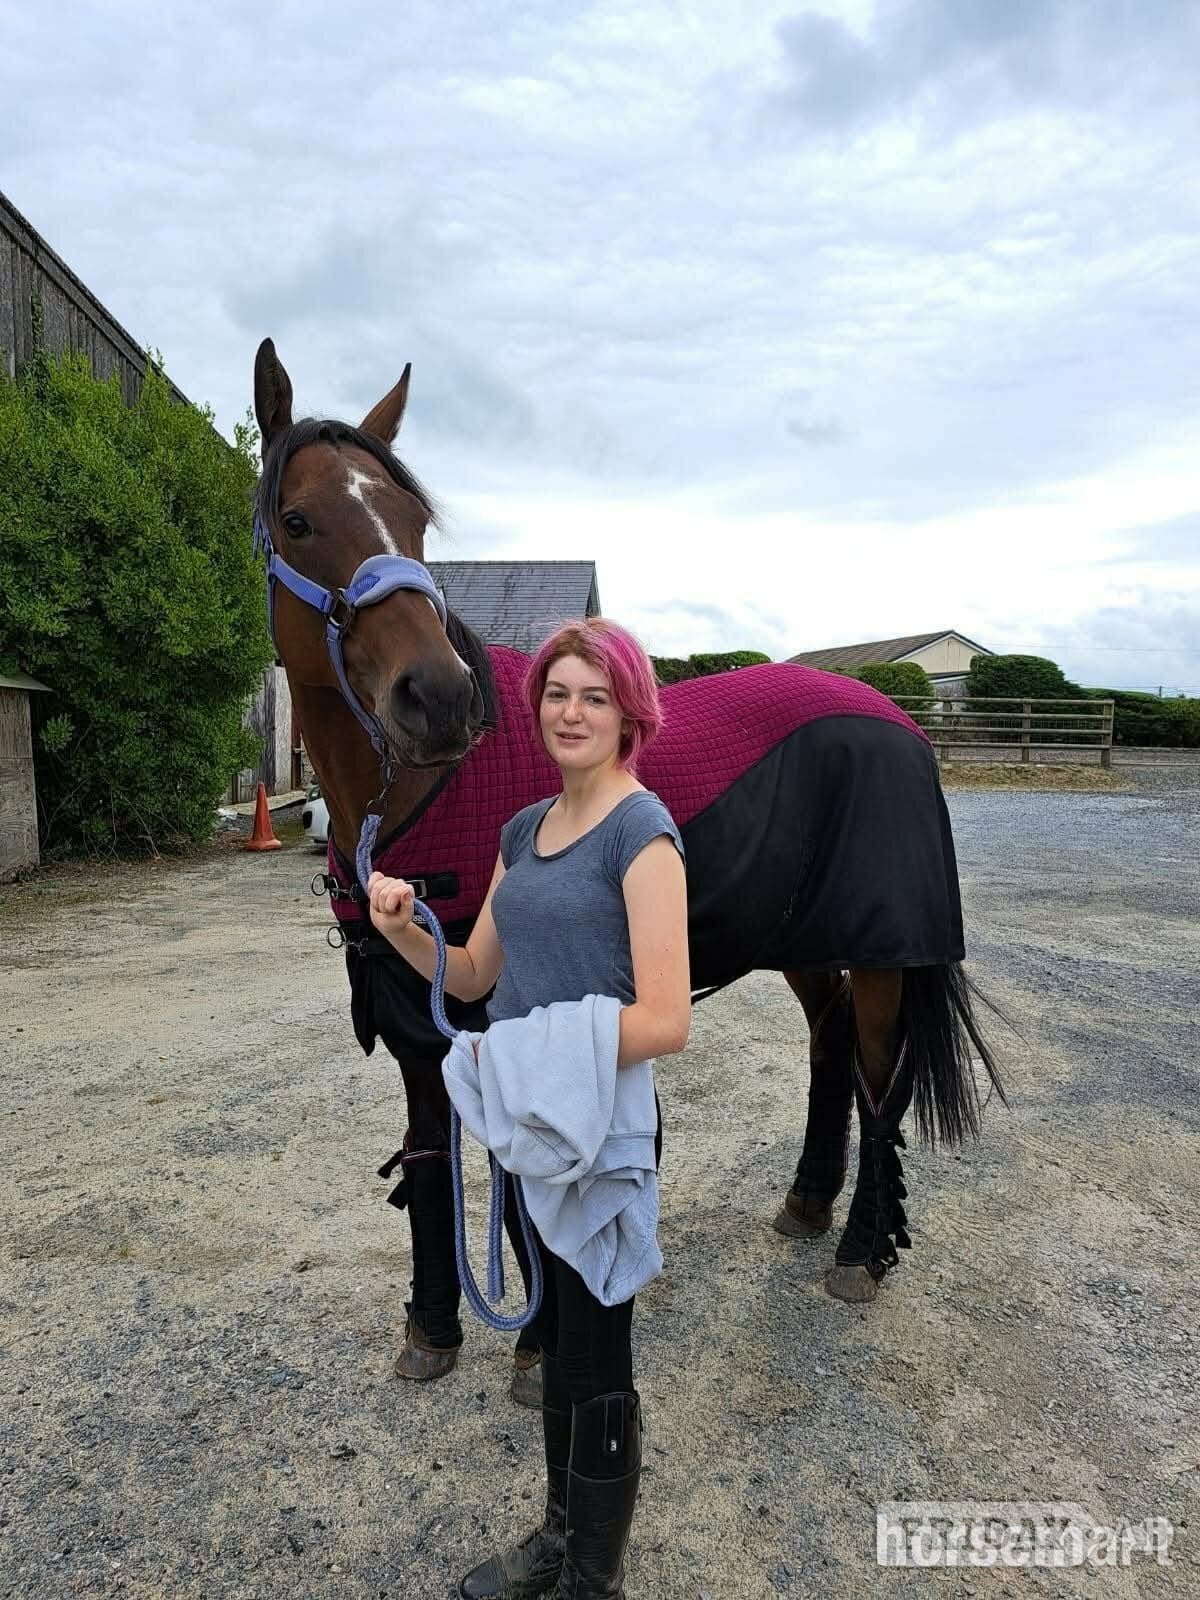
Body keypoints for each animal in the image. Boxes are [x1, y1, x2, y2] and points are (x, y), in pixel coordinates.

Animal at [250, 338, 1005, 1403]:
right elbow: (430, 1158)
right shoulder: (416, 1020)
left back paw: (861, 1248)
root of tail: (896, 720)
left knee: (876, 1074)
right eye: (298, 520)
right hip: (802, 941)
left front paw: (536, 1350)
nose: (437, 699)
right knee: (828, 1049)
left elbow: (525, 1172)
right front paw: (433, 1329)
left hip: (884, 956)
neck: (425, 796)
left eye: (413, 521)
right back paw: (807, 1201)